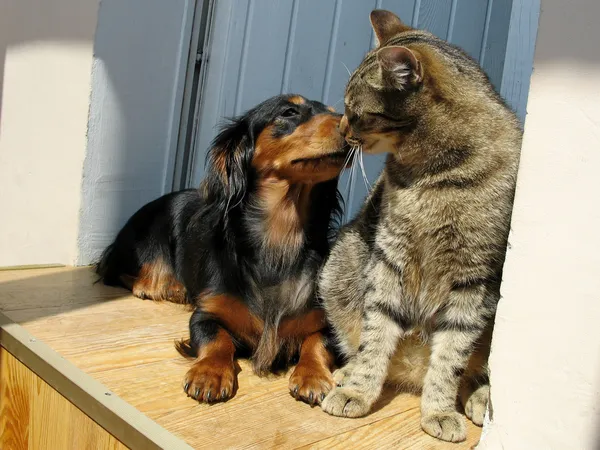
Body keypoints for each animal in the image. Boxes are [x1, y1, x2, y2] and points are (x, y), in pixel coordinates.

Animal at [96, 94, 350, 404]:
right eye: (289, 111)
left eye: (332, 110)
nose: (350, 123)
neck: (278, 240)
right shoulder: (207, 314)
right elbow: (218, 339)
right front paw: (210, 374)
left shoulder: (325, 321)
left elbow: (317, 342)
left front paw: (312, 375)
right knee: (121, 272)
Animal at [318, 8, 520, 442]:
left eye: (354, 110)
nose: (340, 129)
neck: (434, 176)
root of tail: (411, 370)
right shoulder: (390, 257)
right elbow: (376, 336)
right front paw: (358, 391)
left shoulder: (474, 281)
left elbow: (450, 358)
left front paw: (439, 411)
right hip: (339, 264)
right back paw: (347, 373)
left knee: (471, 367)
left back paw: (477, 398)